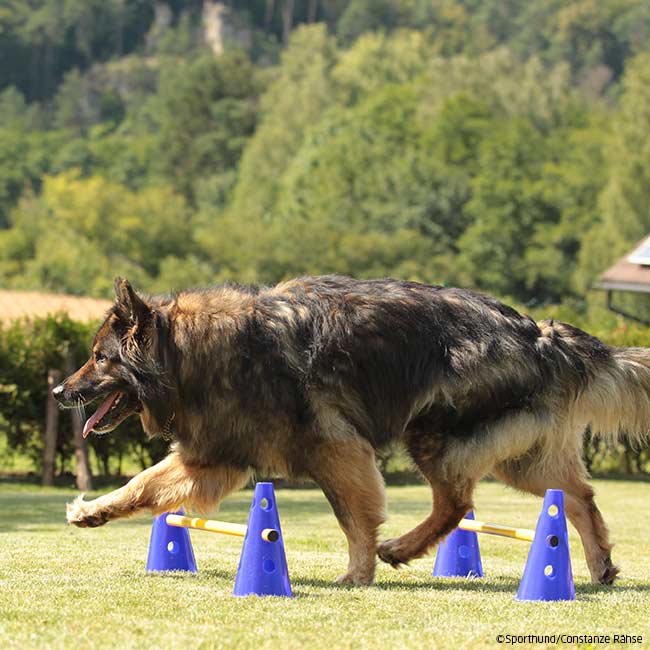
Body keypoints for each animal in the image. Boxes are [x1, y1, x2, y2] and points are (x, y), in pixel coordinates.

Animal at [55, 274, 648, 584]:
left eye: (99, 358)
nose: (59, 392)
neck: (188, 354)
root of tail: (541, 334)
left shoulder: (335, 450)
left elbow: (353, 517)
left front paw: (358, 574)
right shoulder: (212, 456)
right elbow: (143, 484)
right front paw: (92, 511)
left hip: (436, 436)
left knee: (457, 503)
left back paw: (402, 549)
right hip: (517, 456)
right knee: (578, 497)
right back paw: (600, 565)